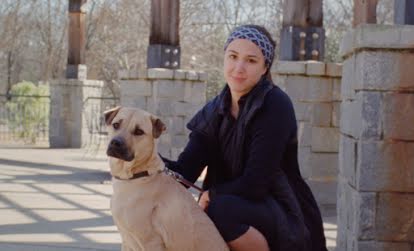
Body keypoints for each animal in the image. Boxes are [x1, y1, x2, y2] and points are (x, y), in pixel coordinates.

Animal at [102, 106, 228, 251]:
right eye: (116, 125)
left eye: (139, 132)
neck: (138, 174)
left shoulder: (151, 241)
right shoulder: (127, 242)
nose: (116, 143)